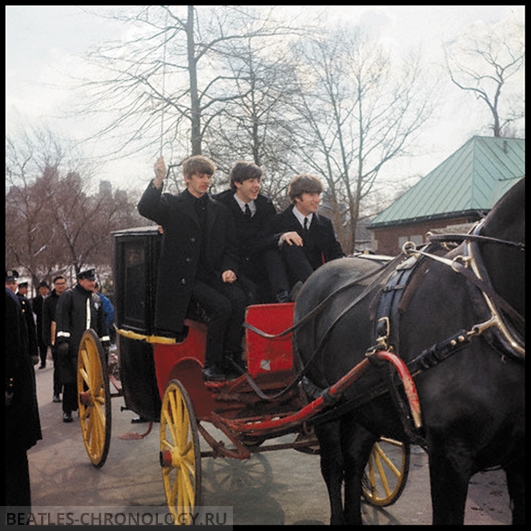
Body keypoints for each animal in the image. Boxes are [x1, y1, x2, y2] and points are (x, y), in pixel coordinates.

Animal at [296, 178, 528, 524]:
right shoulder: (449, 456)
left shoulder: (521, 460)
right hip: (325, 403)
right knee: (334, 467)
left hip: (365, 406)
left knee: (355, 460)